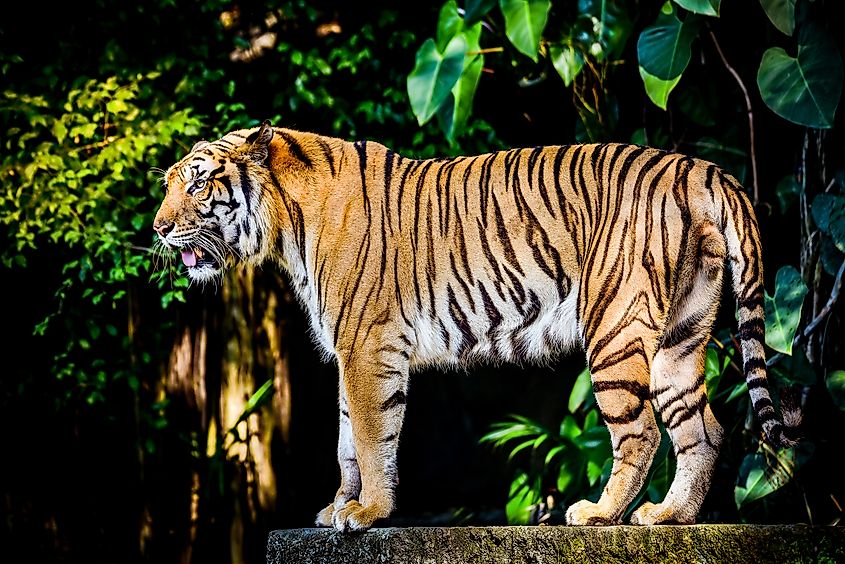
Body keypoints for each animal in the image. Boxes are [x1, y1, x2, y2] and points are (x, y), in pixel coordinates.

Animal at [153, 120, 800, 531]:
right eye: (169, 184)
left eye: (199, 182)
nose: (157, 228)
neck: (286, 227)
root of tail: (704, 168)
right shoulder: (347, 350)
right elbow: (344, 442)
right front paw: (338, 506)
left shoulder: (368, 345)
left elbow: (371, 436)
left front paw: (367, 514)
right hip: (679, 335)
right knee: (705, 429)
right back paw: (669, 516)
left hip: (615, 326)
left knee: (639, 431)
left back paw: (599, 514)